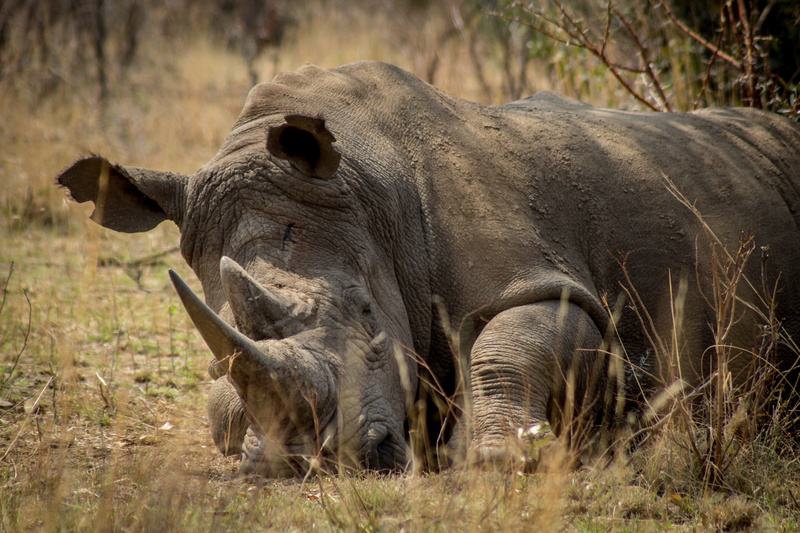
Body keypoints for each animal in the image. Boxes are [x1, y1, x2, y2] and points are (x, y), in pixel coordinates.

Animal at [57, 61, 800, 476]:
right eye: (216, 352)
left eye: (366, 313)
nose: (317, 462)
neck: (368, 185)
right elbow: (220, 410)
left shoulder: (539, 277)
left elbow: (508, 343)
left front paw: (502, 457)